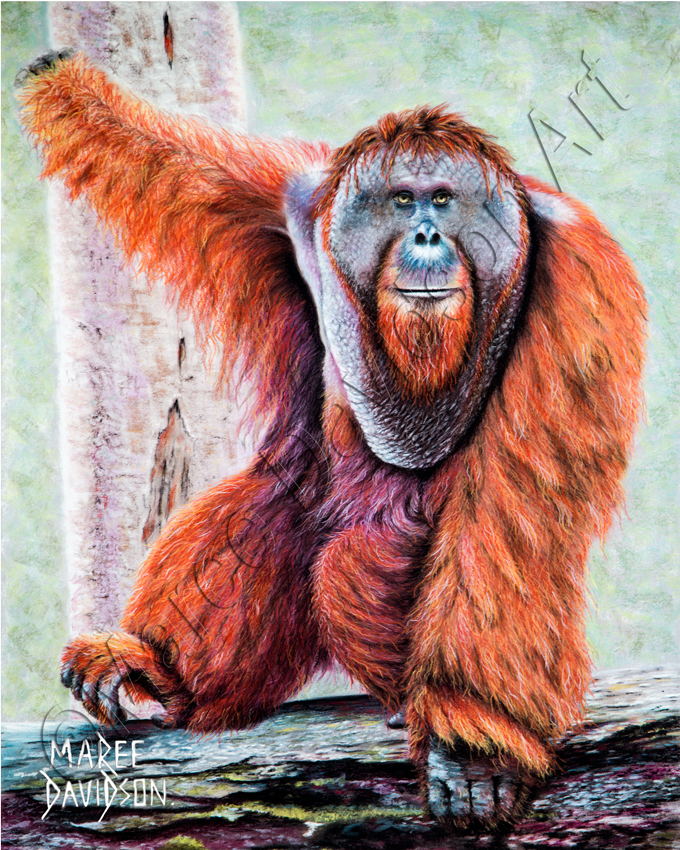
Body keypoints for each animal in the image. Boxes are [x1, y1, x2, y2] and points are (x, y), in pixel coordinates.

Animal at [17, 51, 646, 825]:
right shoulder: (295, 198)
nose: (427, 237)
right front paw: (62, 85)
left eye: (444, 200)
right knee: (275, 501)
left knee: (362, 556)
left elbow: (517, 507)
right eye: (403, 202)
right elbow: (169, 162)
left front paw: (474, 748)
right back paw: (157, 673)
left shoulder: (578, 272)